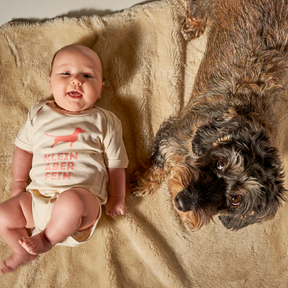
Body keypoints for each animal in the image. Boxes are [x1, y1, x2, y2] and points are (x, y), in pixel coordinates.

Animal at [132, 0, 286, 231]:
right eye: (220, 163)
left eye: (236, 200)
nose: (182, 202)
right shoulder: (171, 137)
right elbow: (158, 166)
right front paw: (143, 183)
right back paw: (193, 26)